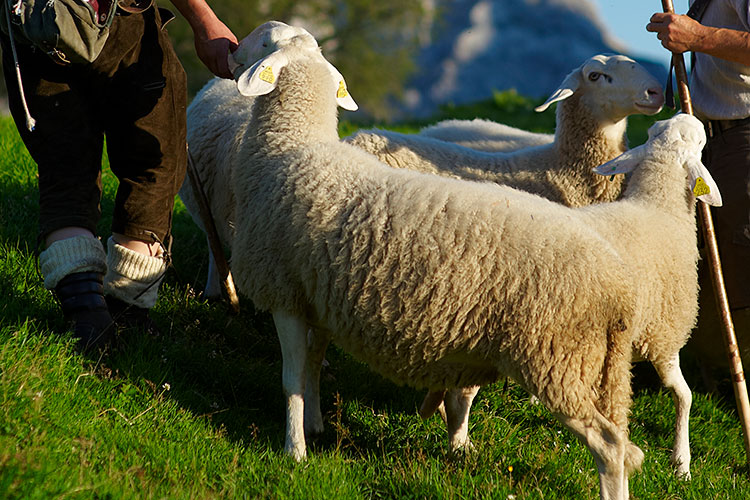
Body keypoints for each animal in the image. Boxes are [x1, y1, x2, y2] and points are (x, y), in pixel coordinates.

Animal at [219, 21, 728, 498]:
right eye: (596, 75)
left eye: (264, 44)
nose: (657, 92)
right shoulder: (304, 291)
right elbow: (302, 371)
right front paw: (308, 433)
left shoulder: (284, 289)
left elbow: (291, 378)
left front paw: (294, 451)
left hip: (557, 356)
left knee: (612, 445)